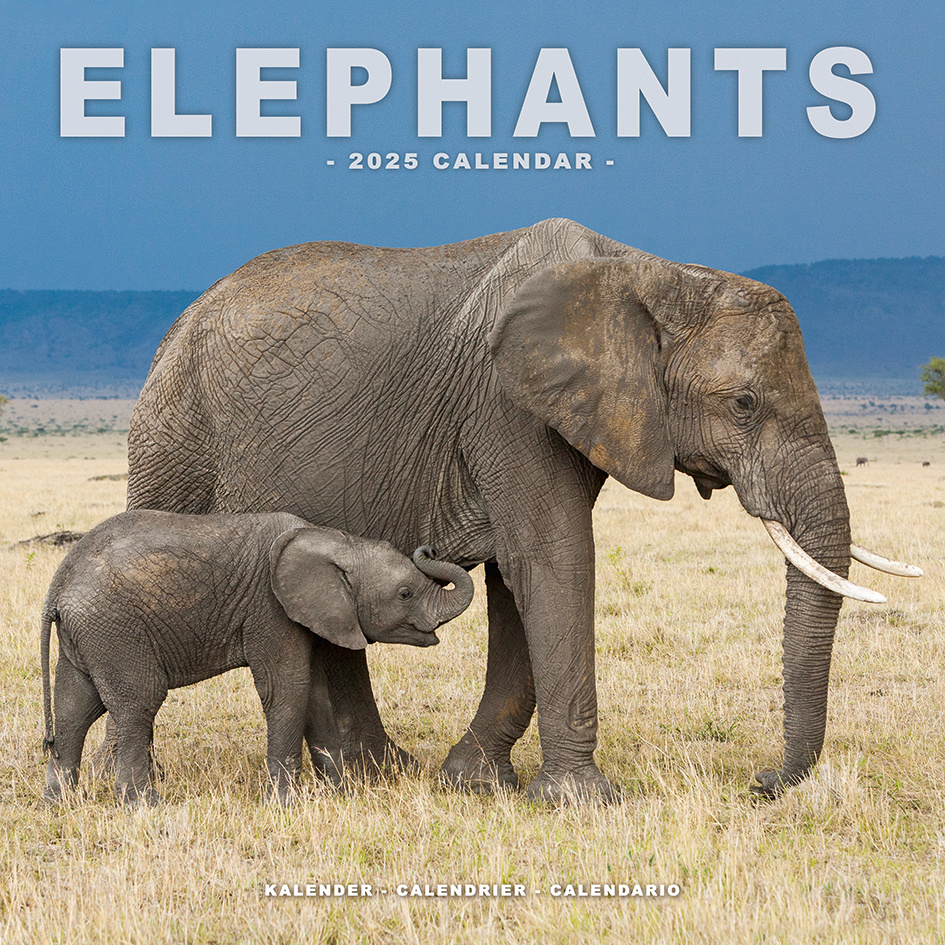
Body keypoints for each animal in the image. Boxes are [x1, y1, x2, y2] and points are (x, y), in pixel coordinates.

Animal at [41, 510, 474, 805]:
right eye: (405, 593)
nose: (429, 546)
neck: (335, 540)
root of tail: (59, 584)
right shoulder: (270, 608)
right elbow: (286, 689)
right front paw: (284, 803)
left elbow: (313, 694)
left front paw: (341, 794)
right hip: (115, 629)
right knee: (138, 703)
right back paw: (143, 807)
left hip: (90, 634)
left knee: (74, 708)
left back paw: (59, 804)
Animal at [124, 218, 920, 803]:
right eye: (744, 403)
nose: (760, 782)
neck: (653, 273)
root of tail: (177, 323)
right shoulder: (506, 404)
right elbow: (552, 558)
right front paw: (583, 802)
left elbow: (520, 578)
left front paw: (472, 782)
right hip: (174, 435)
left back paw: (375, 775)